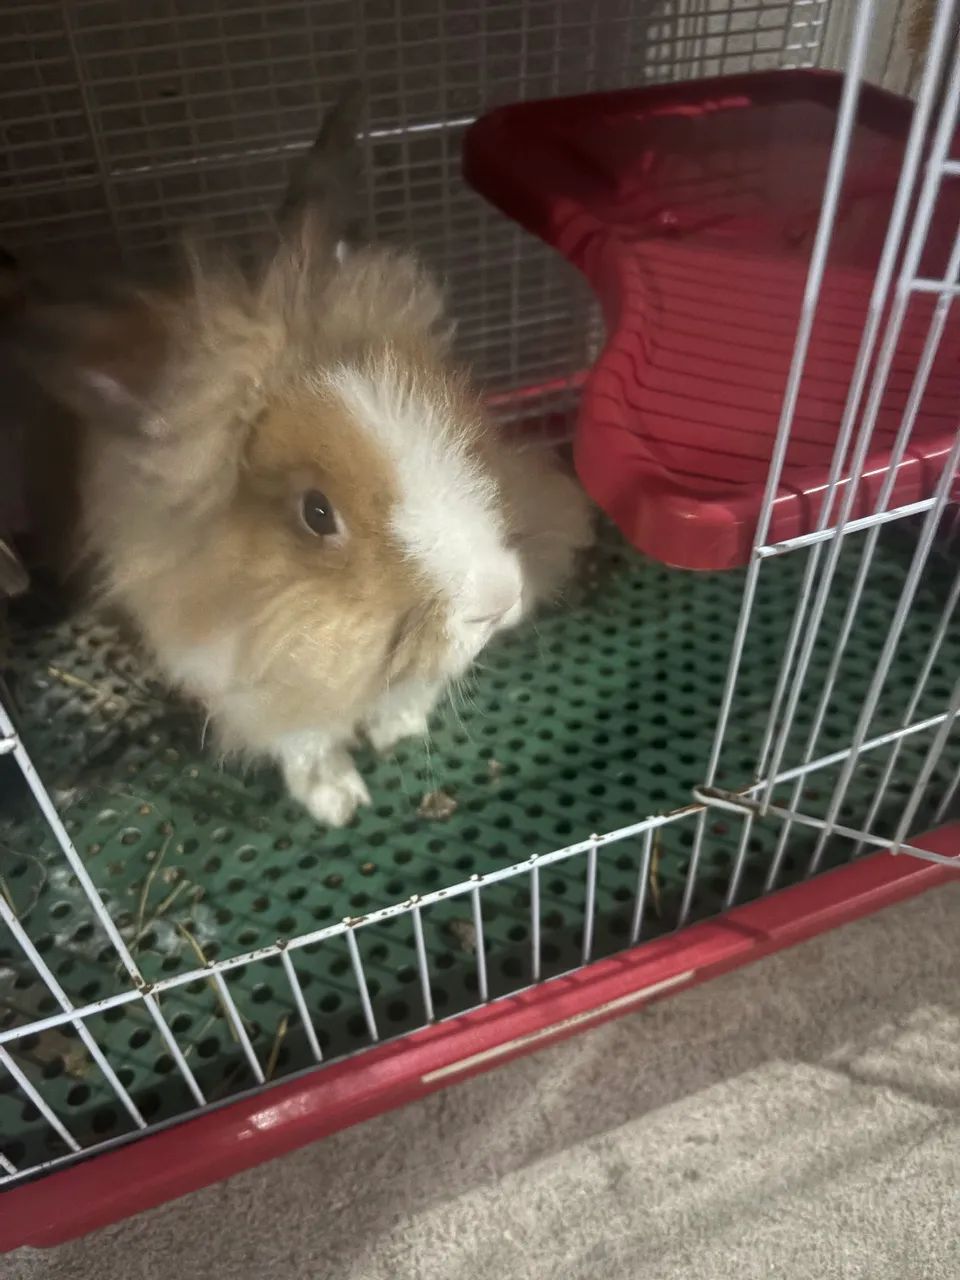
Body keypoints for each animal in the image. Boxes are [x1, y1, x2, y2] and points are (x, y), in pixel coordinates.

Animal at [18, 90, 594, 826]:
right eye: (317, 513)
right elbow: (307, 740)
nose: (496, 600)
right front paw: (337, 801)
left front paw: (398, 728)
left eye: (455, 415)